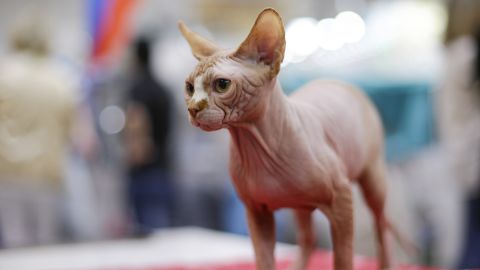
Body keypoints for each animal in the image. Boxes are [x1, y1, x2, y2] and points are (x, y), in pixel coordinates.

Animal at [180, 8, 408, 270]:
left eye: (222, 85)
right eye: (189, 88)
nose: (193, 109)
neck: (253, 144)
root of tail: (338, 82)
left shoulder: (341, 201)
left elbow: (343, 257)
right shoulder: (256, 211)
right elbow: (264, 260)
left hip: (372, 178)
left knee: (380, 225)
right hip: (300, 206)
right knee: (308, 237)